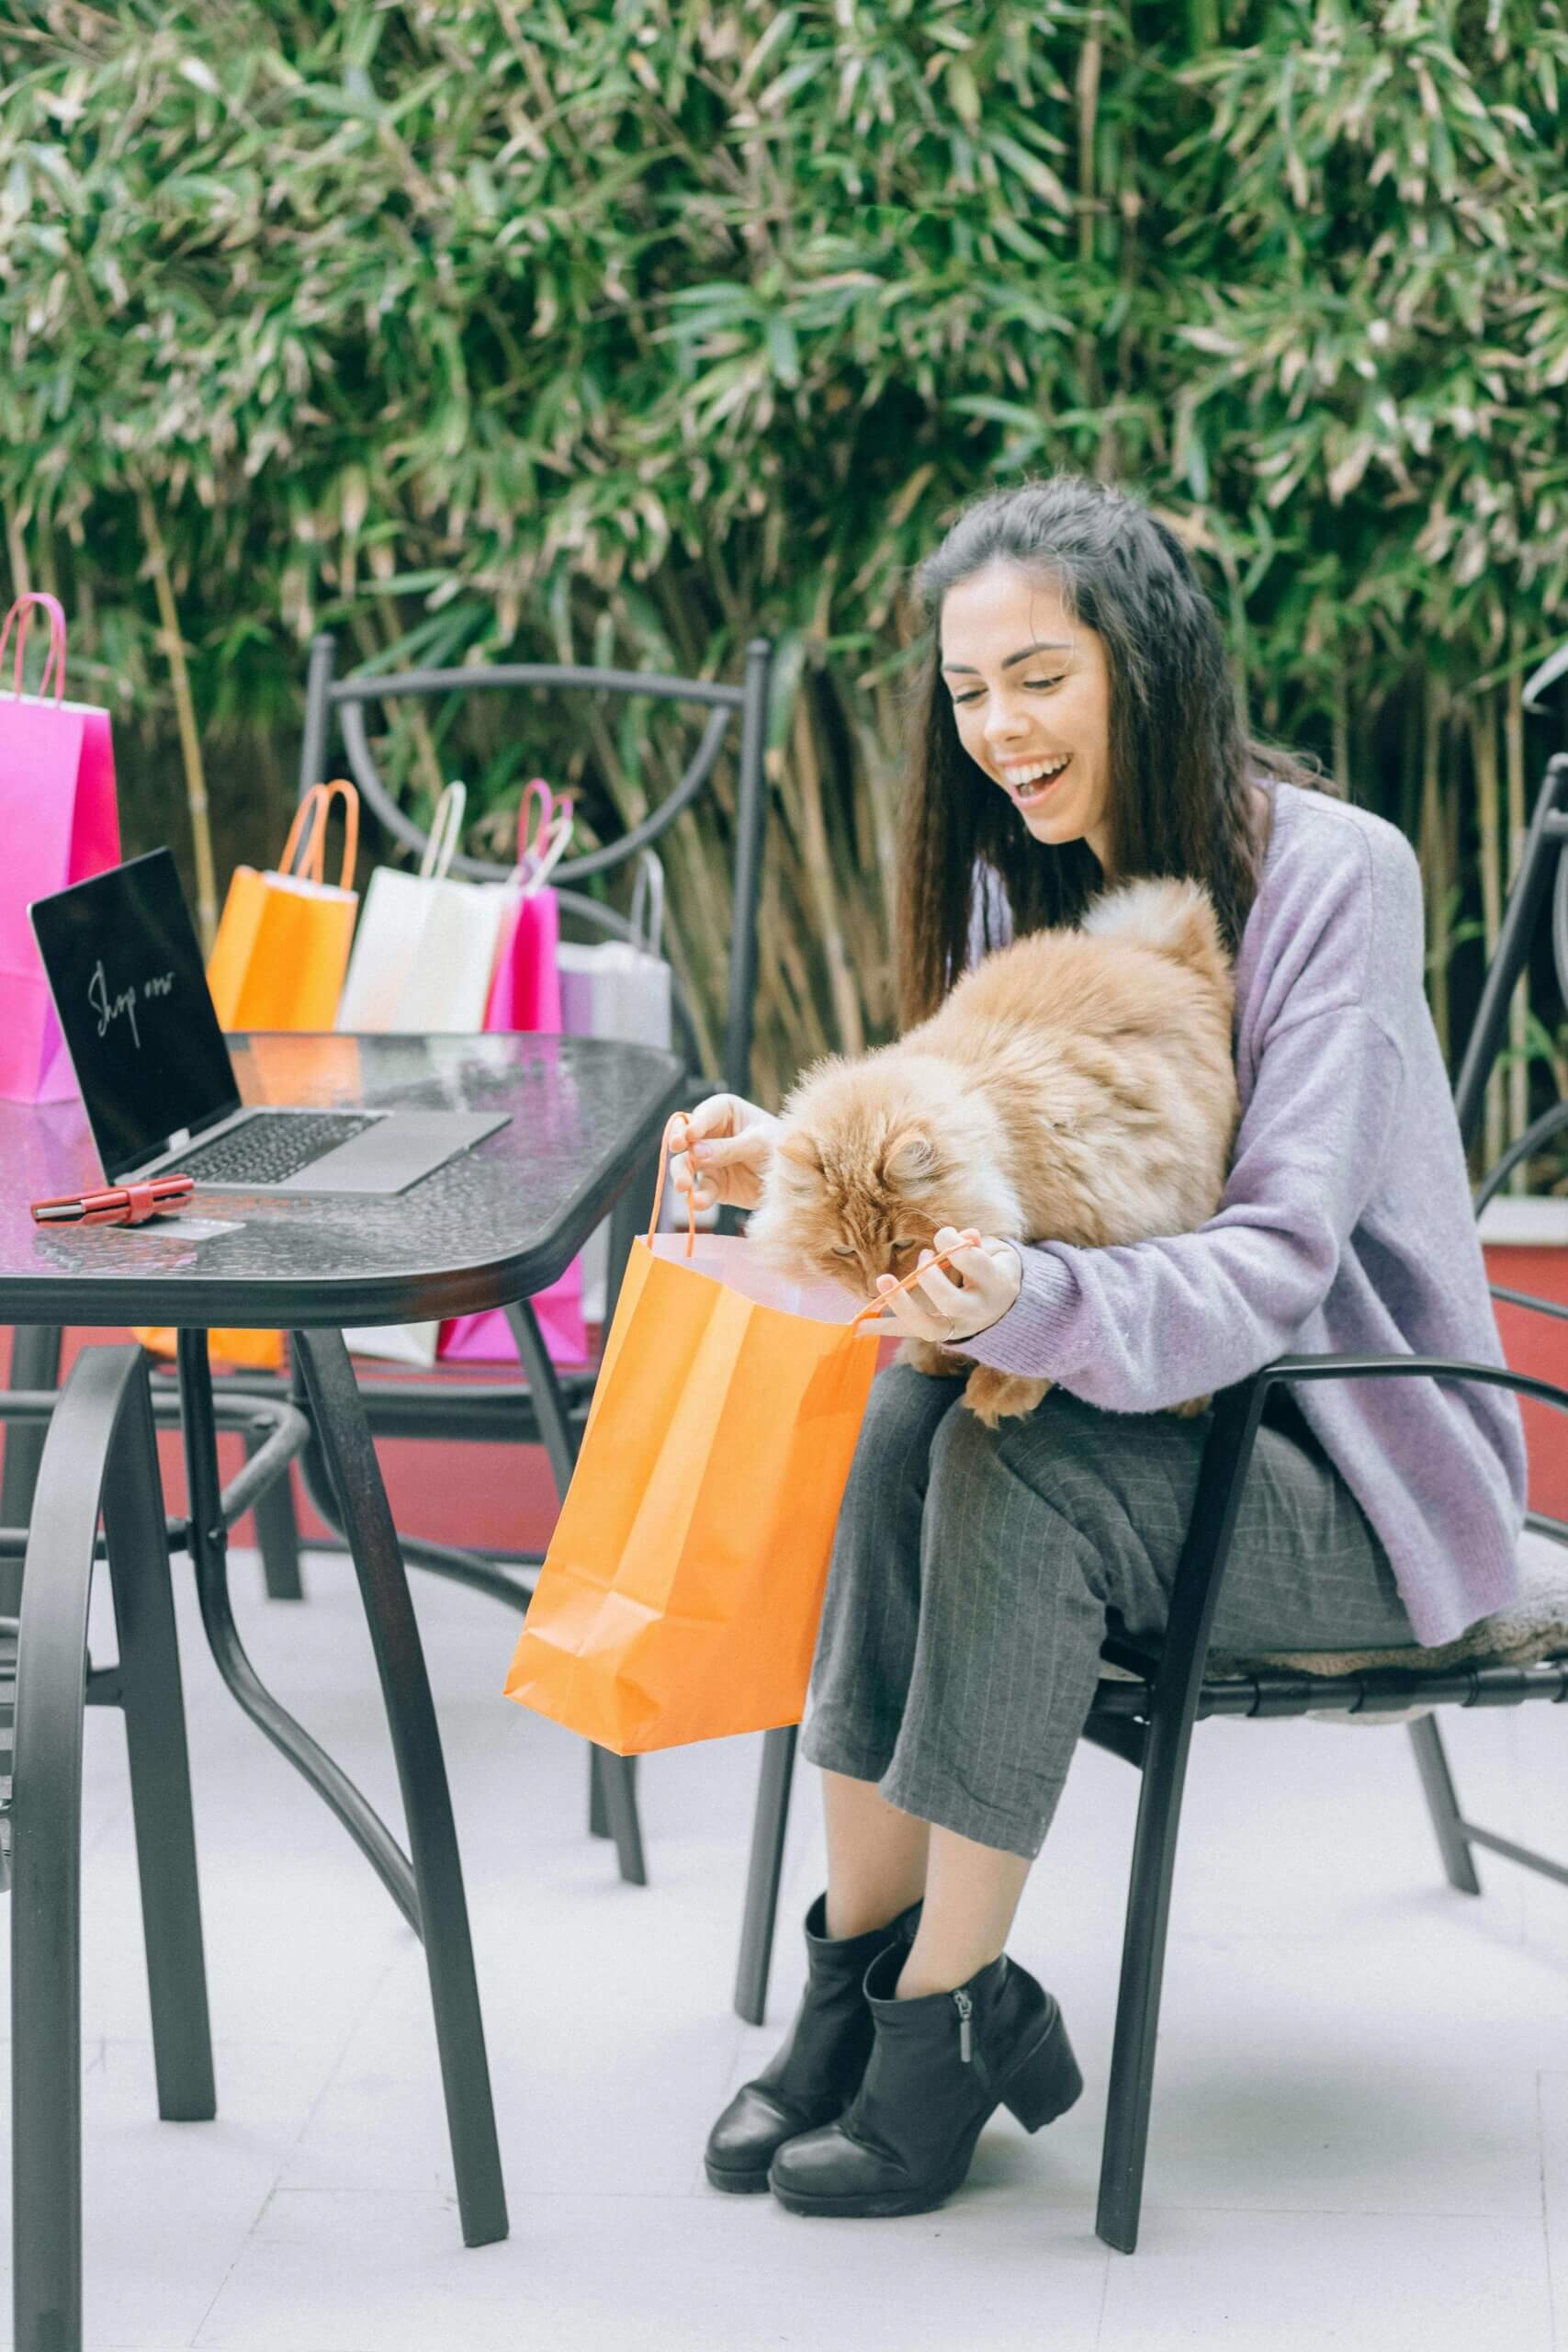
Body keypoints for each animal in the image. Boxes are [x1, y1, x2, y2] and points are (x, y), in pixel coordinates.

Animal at [747, 884, 1241, 1420]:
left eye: (902, 1245)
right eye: (844, 1250)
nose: (875, 1285)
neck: (1003, 1147)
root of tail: (1169, 950)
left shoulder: (1097, 1219)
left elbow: (1060, 1330)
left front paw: (1001, 1389)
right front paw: (935, 1352)